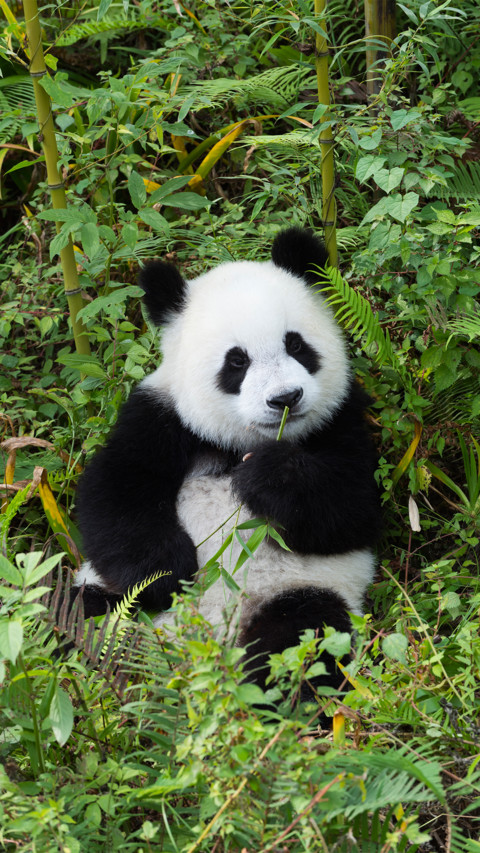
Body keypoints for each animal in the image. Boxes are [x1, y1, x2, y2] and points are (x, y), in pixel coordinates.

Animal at [74, 227, 381, 699]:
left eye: (296, 345)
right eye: (237, 361)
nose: (286, 399)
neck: (240, 442)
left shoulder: (340, 417)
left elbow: (353, 507)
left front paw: (269, 476)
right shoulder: (160, 416)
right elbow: (113, 494)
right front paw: (167, 573)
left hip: (298, 591)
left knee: (303, 638)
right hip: (99, 592)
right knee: (68, 610)